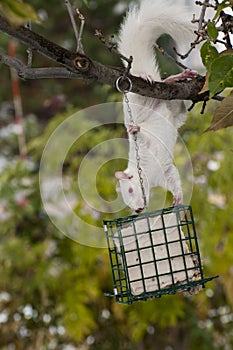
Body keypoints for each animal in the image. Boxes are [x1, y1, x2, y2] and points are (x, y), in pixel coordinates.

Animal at [114, 0, 197, 213]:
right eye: (126, 200)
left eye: (131, 190)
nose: (137, 210)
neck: (149, 173)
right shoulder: (165, 172)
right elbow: (173, 179)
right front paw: (177, 198)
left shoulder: (147, 148)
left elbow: (143, 138)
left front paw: (134, 130)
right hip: (177, 110)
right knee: (173, 99)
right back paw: (178, 78)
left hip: (141, 101)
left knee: (157, 85)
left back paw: (150, 77)